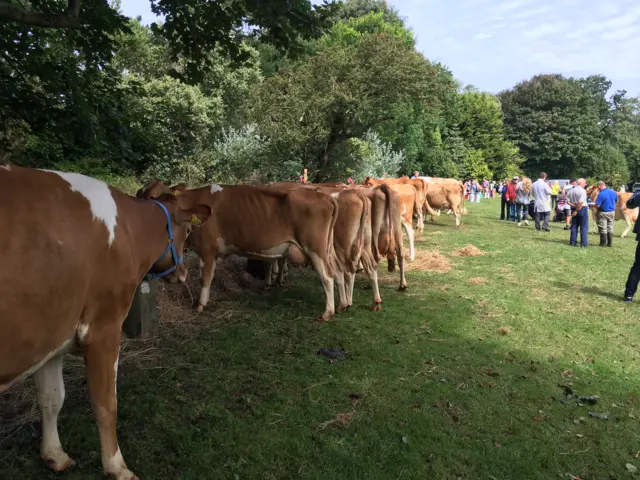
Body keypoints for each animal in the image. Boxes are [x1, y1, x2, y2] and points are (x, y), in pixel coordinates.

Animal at [0, 166, 211, 480]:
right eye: (187, 231)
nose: (183, 273)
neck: (131, 231)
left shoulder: (52, 334)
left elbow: (52, 397)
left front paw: (55, 455)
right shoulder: (104, 328)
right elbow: (106, 404)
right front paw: (117, 467)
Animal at [138, 182, 340, 321]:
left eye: (153, 197)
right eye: (141, 194)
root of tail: (324, 196)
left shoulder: (207, 249)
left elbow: (205, 279)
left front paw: (200, 305)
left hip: (315, 249)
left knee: (327, 276)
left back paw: (327, 312)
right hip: (326, 250)